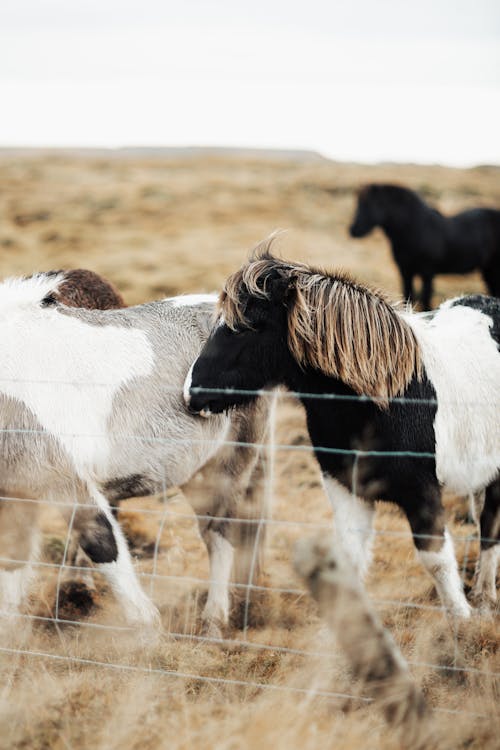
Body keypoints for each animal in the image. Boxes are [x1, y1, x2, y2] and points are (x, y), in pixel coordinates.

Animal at [0, 270, 274, 636]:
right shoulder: (16, 491)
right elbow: (12, 557)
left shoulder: (66, 483)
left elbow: (103, 544)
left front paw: (146, 630)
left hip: (222, 471)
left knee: (220, 536)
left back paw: (214, 620)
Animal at [185, 242, 500, 624]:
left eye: (250, 326)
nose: (191, 392)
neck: (385, 400)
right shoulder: (346, 489)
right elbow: (350, 561)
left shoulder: (423, 495)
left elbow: (436, 560)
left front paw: (461, 621)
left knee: (490, 527)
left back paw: (484, 598)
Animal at [348, 185, 500, 312]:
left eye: (369, 205)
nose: (353, 230)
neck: (416, 230)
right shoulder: (405, 272)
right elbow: (408, 295)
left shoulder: (427, 273)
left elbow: (426, 300)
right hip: (488, 271)